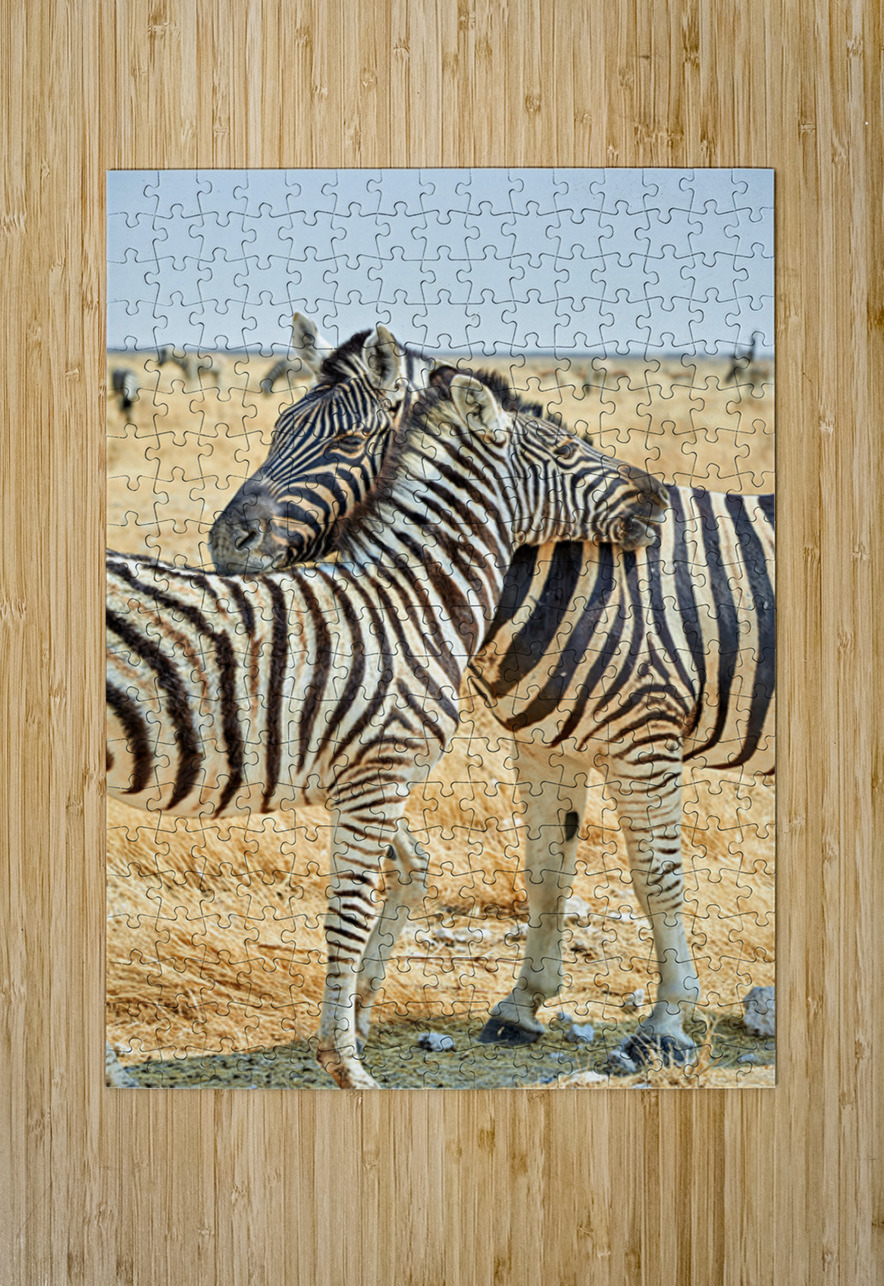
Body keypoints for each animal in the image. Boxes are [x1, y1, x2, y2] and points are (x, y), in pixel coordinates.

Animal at [108, 373, 665, 1089]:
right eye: (569, 449)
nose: (658, 496)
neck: (413, 601)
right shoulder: (378, 776)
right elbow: (346, 918)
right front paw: (345, 1063)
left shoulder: (365, 778)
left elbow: (409, 871)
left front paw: (360, 1017)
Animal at [210, 327, 775, 1073]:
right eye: (277, 429)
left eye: (350, 442)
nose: (225, 540)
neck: (569, 565)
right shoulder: (544, 746)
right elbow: (546, 874)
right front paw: (521, 1007)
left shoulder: (645, 741)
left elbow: (657, 877)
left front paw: (666, 1023)